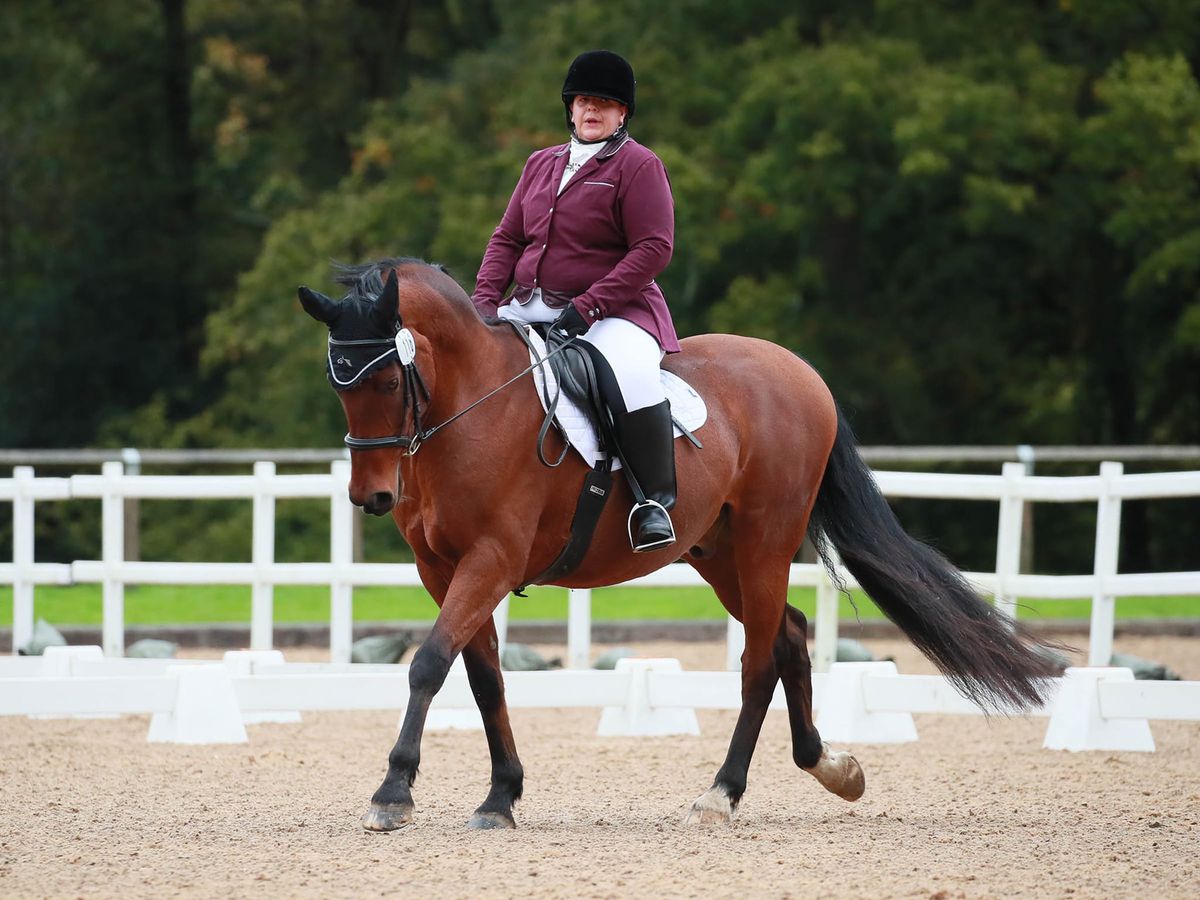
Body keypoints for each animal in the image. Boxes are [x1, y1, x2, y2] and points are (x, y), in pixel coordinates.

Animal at [300, 256, 1060, 835]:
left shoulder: (491, 559)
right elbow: (483, 678)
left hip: (765, 541)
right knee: (789, 635)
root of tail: (803, 375)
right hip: (718, 553)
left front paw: (392, 794)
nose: (371, 497)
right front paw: (500, 797)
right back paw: (829, 766)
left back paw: (721, 794)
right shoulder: (443, 568)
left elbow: (429, 663)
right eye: (337, 385)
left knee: (760, 658)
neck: (474, 404)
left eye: (388, 378)